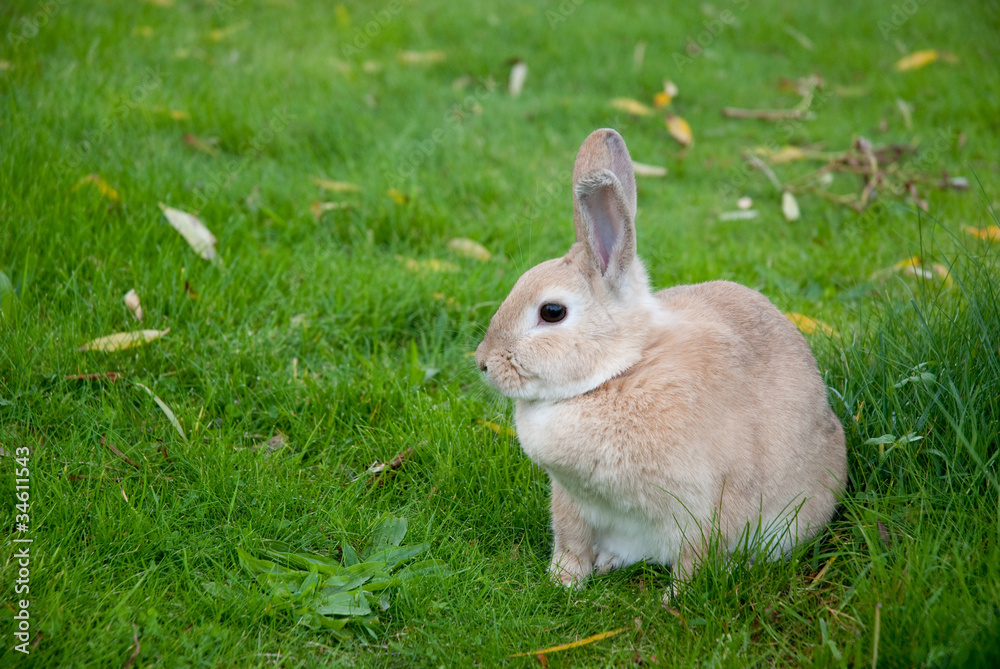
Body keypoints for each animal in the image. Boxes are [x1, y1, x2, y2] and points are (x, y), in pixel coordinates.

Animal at [475, 128, 847, 600]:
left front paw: (675, 598)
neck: (622, 370)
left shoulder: (704, 504)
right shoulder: (571, 503)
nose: (483, 363)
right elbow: (570, 542)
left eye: (552, 312)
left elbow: (696, 557)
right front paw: (564, 581)